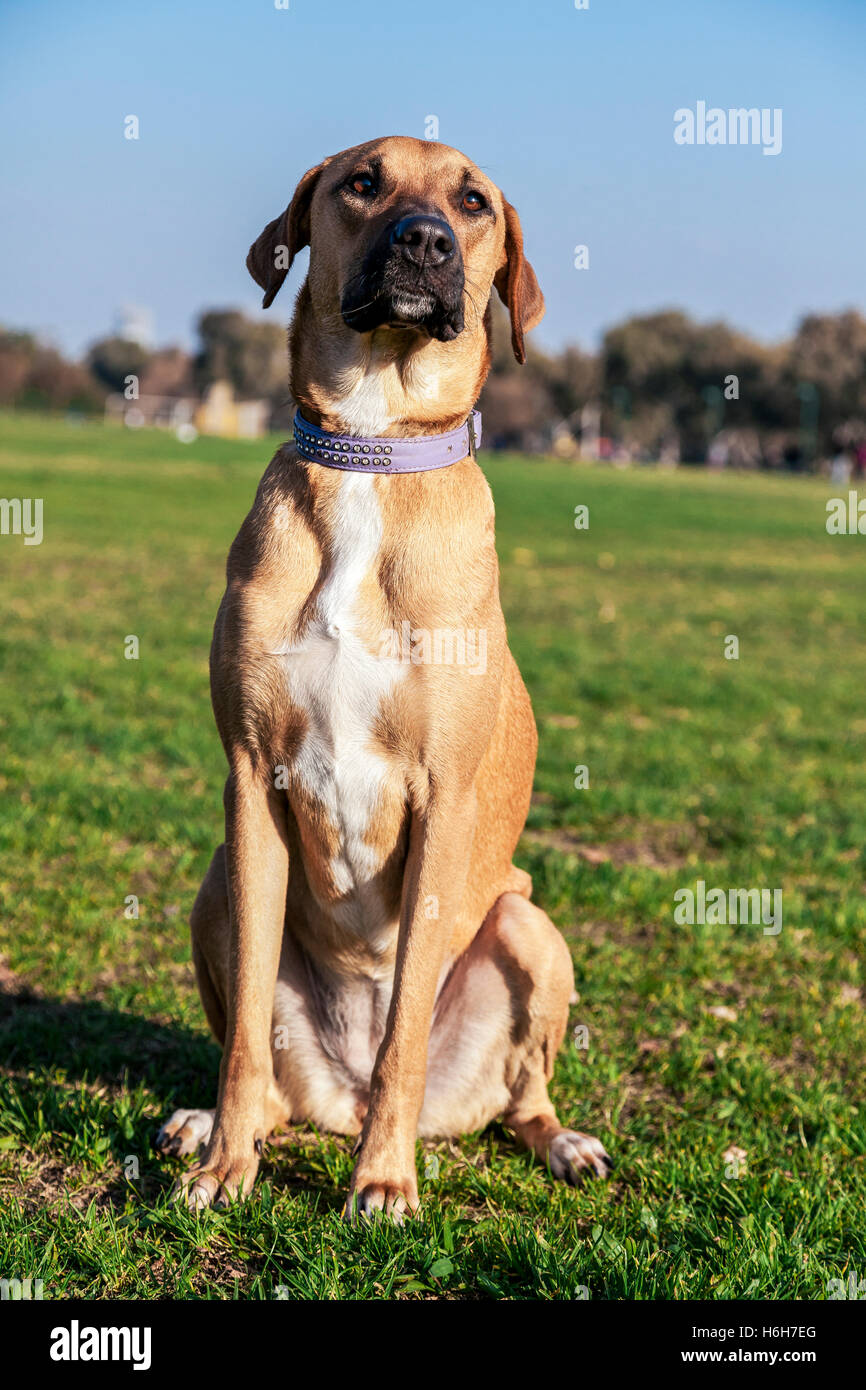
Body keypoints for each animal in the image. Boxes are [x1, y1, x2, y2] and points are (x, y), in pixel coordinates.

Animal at [157, 132, 617, 1217]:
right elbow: (244, 1031)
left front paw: (382, 1181)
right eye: (362, 182)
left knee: (518, 1097)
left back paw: (559, 1142)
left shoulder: (443, 803)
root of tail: (340, 1094)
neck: (371, 447)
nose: (425, 242)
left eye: (473, 201)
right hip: (213, 884)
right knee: (270, 1078)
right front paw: (225, 1164)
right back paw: (215, 1124)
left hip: (529, 926)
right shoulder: (251, 781)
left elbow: (406, 1022)